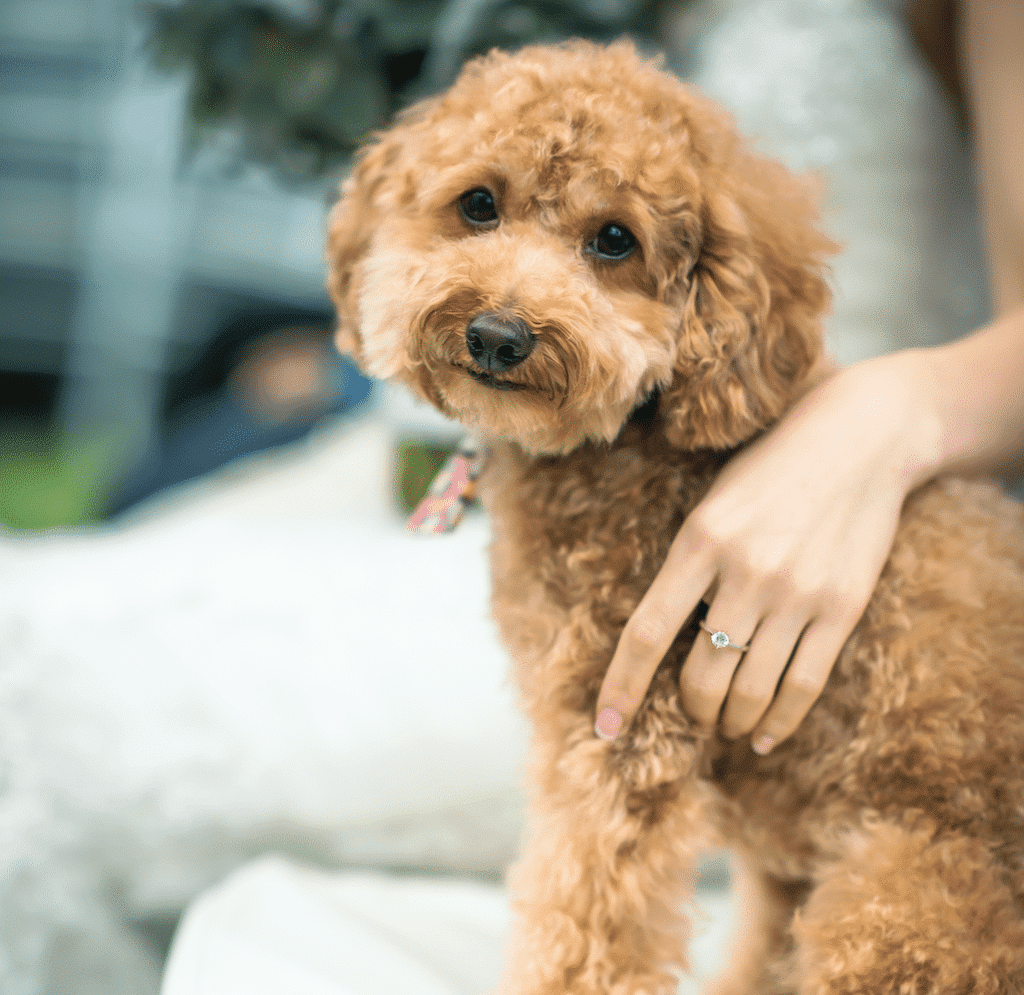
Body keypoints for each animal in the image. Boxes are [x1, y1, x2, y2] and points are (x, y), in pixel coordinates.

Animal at [325, 38, 1024, 995]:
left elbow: (586, 924)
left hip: (898, 909)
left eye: (614, 239)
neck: (629, 441)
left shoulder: (623, 738)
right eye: (477, 205)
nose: (499, 335)